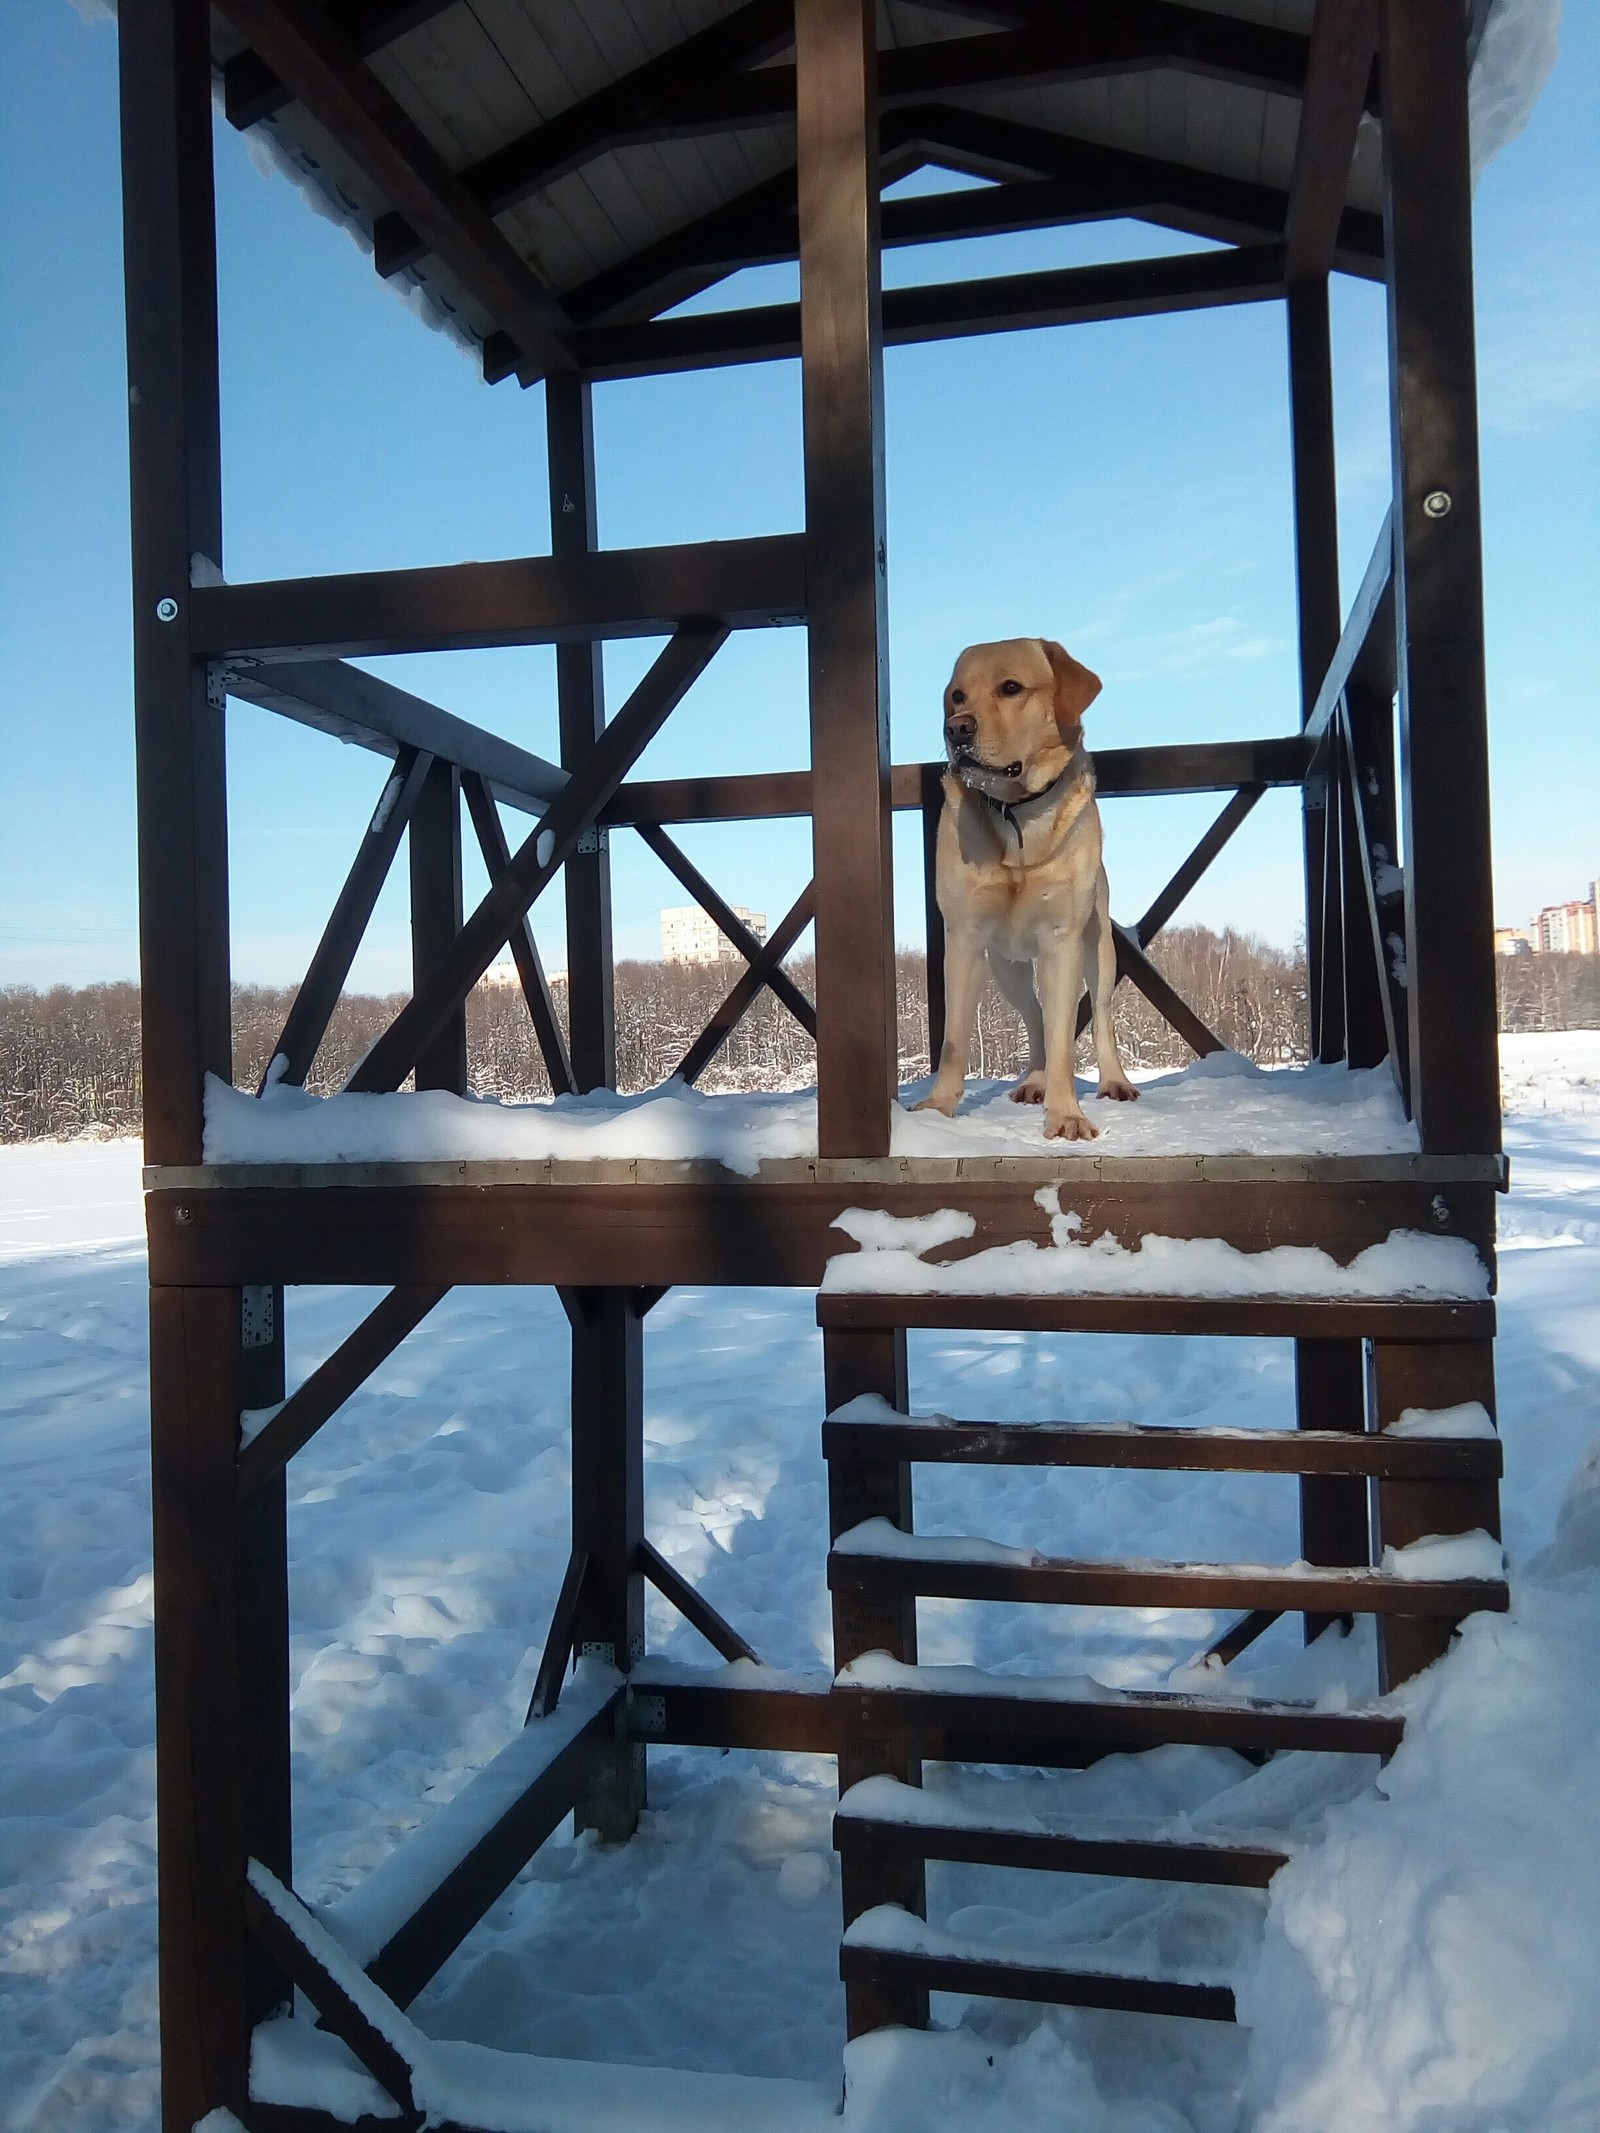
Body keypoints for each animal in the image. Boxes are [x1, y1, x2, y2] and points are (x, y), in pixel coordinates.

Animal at [913, 635, 1143, 1143]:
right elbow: (954, 1040)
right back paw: (1034, 1081)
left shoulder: (1062, 942)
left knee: (1098, 1016)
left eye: (1011, 688)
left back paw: (1113, 1080)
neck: (1015, 811)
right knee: (1034, 1017)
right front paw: (938, 1109)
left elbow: (1064, 1042)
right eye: (957, 696)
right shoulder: (964, 939)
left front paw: (1067, 1115)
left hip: (1098, 949)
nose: (956, 729)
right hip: (1005, 965)